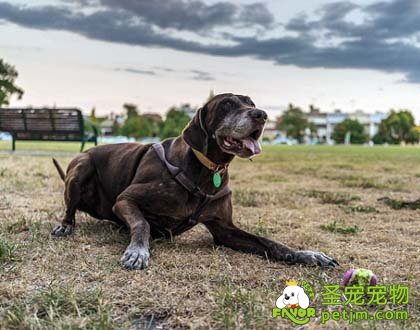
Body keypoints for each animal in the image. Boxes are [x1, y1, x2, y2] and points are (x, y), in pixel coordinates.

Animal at [50, 94, 338, 270]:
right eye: (226, 105)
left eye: (251, 102)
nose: (262, 114)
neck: (207, 169)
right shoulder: (125, 200)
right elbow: (142, 223)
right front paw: (138, 251)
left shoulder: (225, 230)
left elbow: (270, 243)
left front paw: (307, 254)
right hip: (81, 167)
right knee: (70, 209)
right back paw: (66, 226)